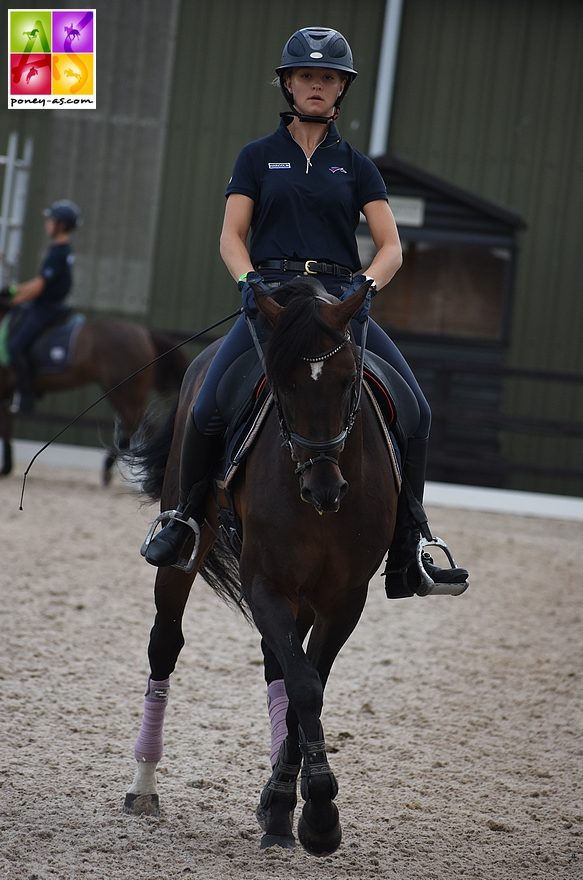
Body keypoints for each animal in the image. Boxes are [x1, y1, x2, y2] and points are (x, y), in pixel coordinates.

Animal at [0, 302, 189, 482]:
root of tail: (145, 333)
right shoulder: (6, 394)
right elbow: (7, 427)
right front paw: (6, 468)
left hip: (123, 391)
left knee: (139, 427)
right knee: (141, 428)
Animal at [125, 278, 400, 856]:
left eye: (347, 382)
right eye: (282, 384)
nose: (323, 489)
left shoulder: (344, 599)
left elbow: (305, 683)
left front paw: (286, 805)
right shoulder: (267, 585)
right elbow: (304, 686)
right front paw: (318, 813)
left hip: (305, 598)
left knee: (278, 664)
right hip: (187, 543)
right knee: (165, 643)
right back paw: (143, 786)